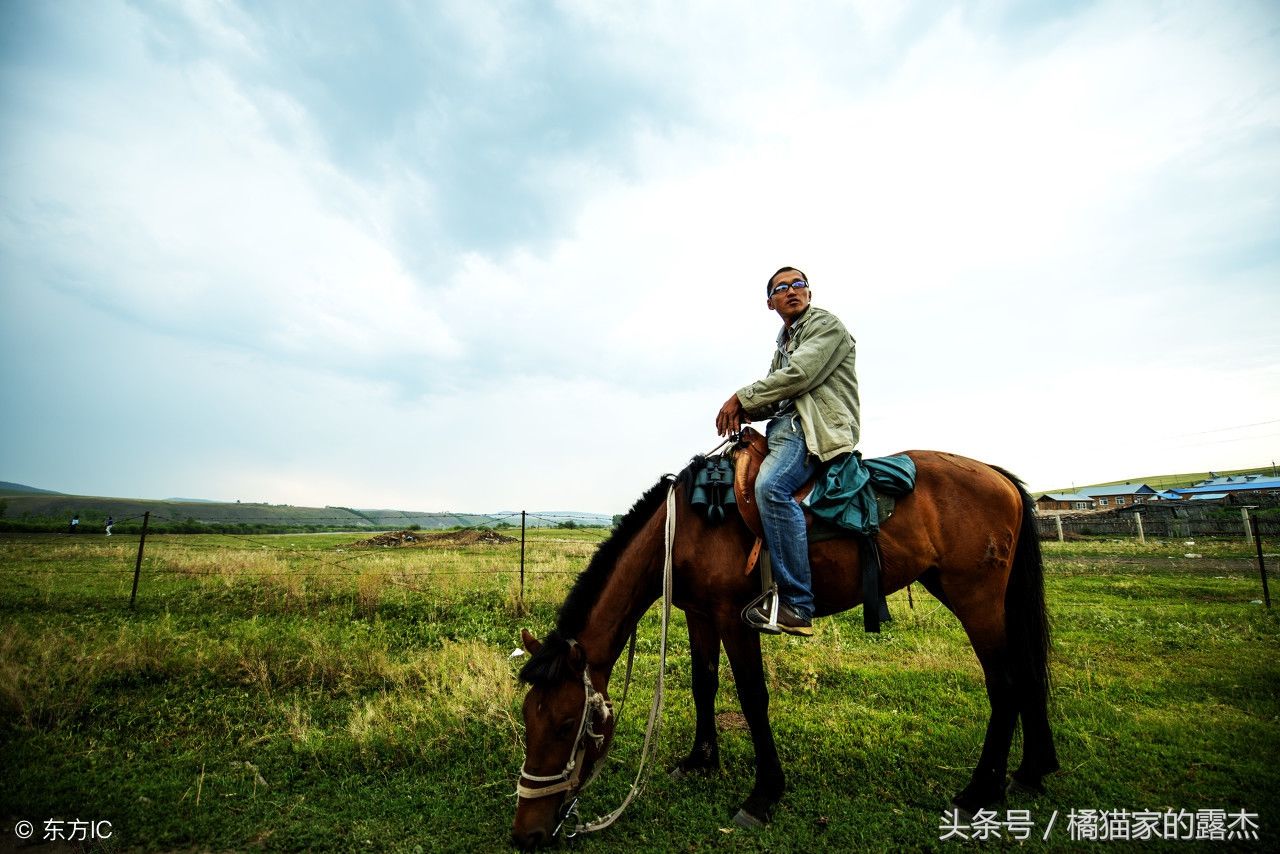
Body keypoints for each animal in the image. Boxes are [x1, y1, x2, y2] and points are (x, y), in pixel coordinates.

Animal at [509, 448, 1059, 850]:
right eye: (528, 719)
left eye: (566, 724)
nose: (526, 834)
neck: (683, 528)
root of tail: (998, 477)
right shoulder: (698, 614)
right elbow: (704, 684)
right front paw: (700, 760)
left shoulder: (734, 617)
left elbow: (753, 698)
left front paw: (763, 795)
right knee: (1028, 674)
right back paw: (1030, 772)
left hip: (975, 598)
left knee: (1005, 683)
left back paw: (978, 792)